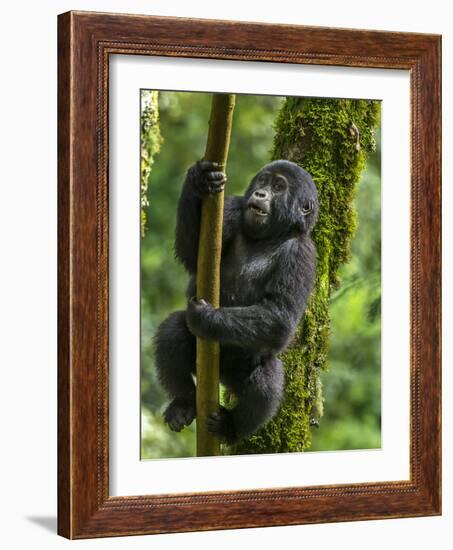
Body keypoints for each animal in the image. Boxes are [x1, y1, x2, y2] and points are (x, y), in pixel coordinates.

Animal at [155, 158, 318, 444]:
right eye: (263, 181)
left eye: (278, 187)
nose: (260, 194)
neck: (273, 234)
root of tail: (219, 378)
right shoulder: (231, 208)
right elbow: (193, 255)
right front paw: (199, 179)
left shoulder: (303, 253)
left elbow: (279, 315)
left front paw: (206, 318)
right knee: (173, 330)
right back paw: (183, 402)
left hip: (237, 374)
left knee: (267, 378)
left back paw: (231, 427)